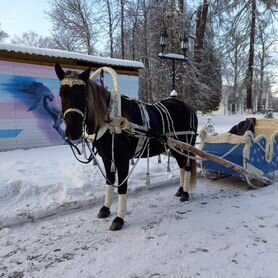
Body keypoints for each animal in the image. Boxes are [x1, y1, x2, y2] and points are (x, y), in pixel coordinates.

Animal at [54, 63, 198, 230]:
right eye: (61, 93)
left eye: (83, 94)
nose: (73, 131)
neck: (111, 120)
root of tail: (187, 106)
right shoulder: (107, 158)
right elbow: (109, 182)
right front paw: (105, 209)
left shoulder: (122, 160)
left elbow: (122, 187)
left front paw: (119, 218)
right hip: (173, 147)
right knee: (181, 166)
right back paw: (181, 190)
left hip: (185, 145)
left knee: (186, 166)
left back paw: (185, 193)